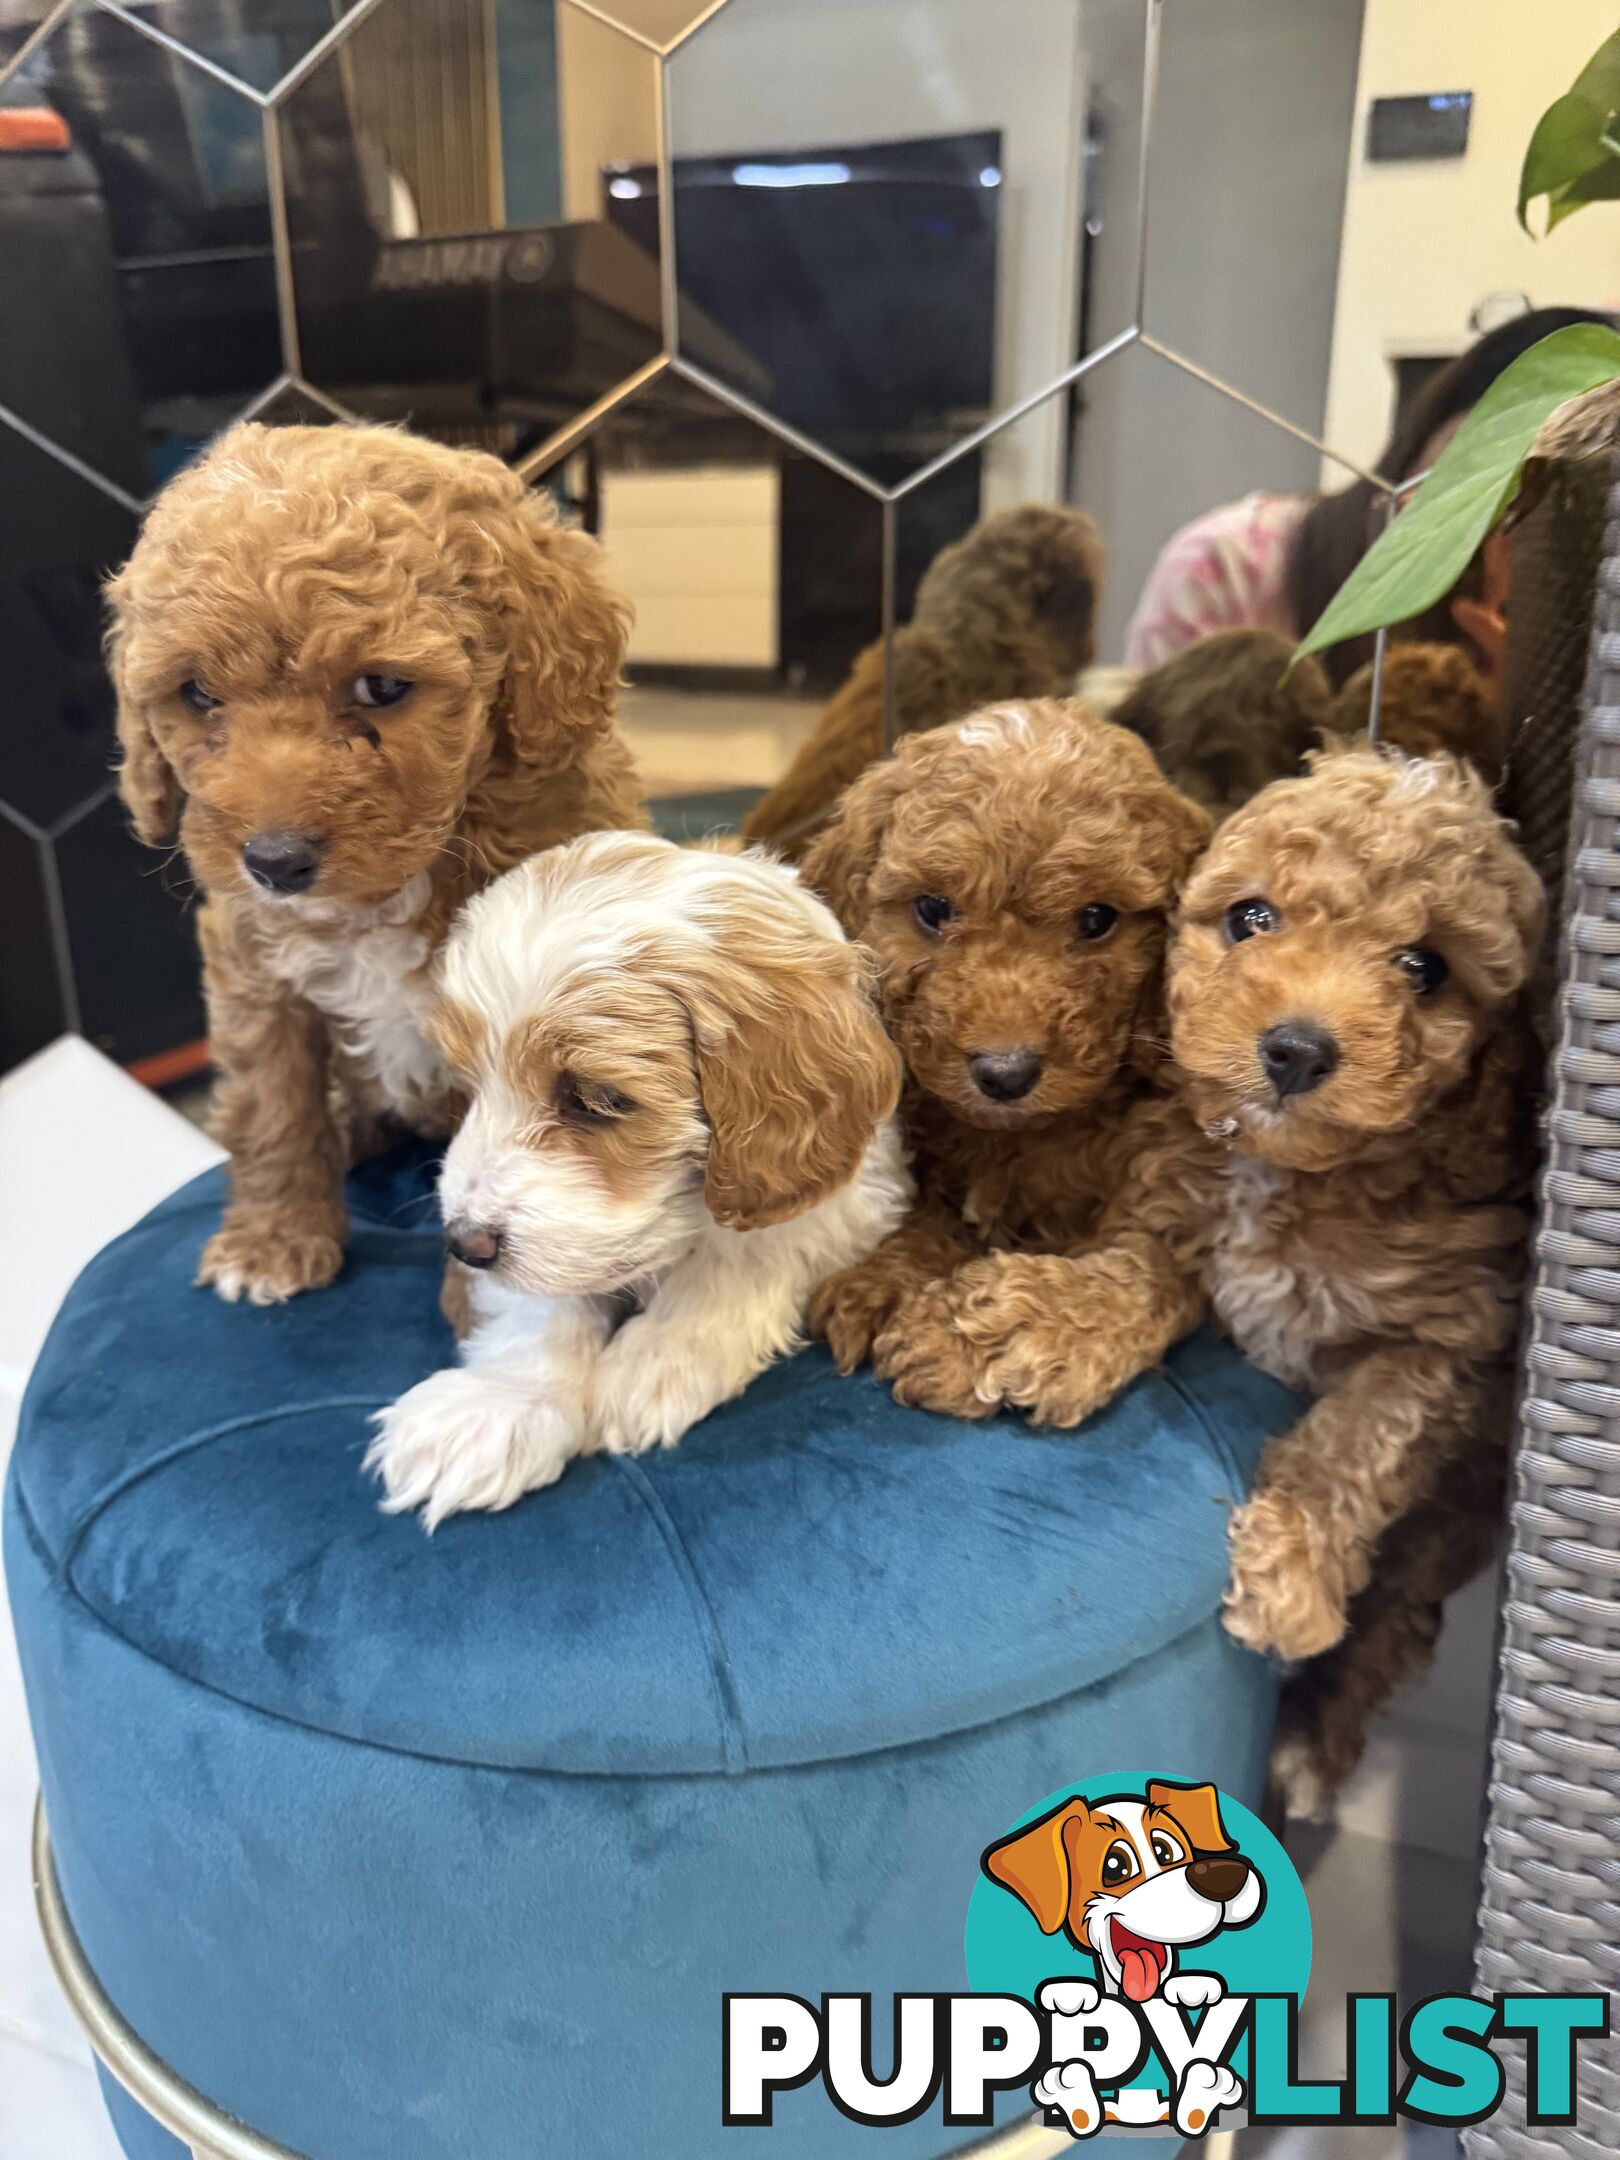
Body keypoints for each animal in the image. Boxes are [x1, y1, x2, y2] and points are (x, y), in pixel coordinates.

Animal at [109, 416, 648, 1296]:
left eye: (383, 688)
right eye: (198, 695)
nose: (275, 862)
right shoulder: (253, 968)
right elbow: (273, 1103)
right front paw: (272, 1242)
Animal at [367, 825, 915, 1520]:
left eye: (598, 1099)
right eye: (469, 1085)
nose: (463, 1245)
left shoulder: (852, 1192)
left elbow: (744, 1254)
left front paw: (655, 1362)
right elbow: (540, 1296)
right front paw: (493, 1405)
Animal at [807, 699, 1209, 1425]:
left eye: (1098, 919)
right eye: (933, 909)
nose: (1004, 1073)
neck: (1021, 1136)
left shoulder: (1179, 1207)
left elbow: (1135, 1273)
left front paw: (987, 1339)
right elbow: (930, 1210)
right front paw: (884, 1279)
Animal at [1175, 747, 1537, 1702]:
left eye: (1425, 968)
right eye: (1251, 918)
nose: (1296, 1051)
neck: (1298, 1177)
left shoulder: (1449, 1336)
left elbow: (1358, 1438)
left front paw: (1290, 1573)